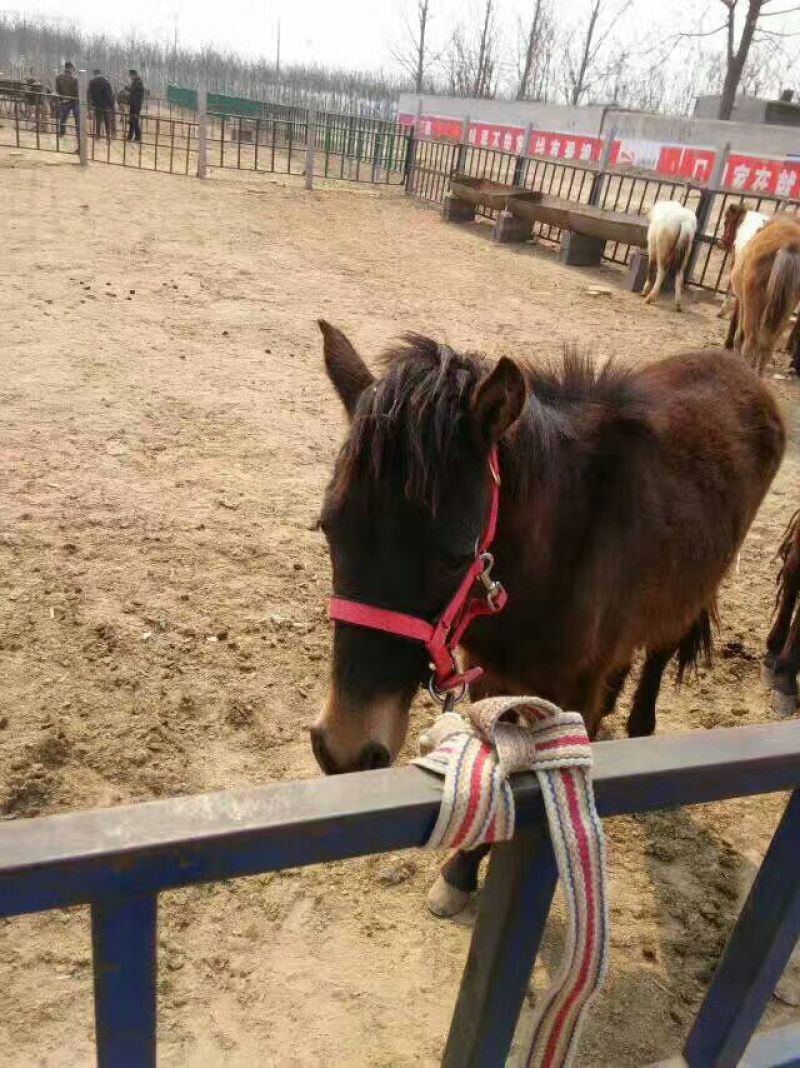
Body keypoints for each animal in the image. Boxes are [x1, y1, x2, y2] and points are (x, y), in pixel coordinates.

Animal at [312, 321, 785, 916]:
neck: (557, 553)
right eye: (328, 528)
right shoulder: (493, 674)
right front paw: (462, 870)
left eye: (455, 556)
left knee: (657, 652)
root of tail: (747, 373)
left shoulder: (570, 688)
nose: (343, 748)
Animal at [726, 214, 800, 374]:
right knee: (767, 348)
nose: (724, 240)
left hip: (754, 307)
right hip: (784, 311)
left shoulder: (743, 302)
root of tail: (788, 245)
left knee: (751, 343)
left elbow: (739, 332)